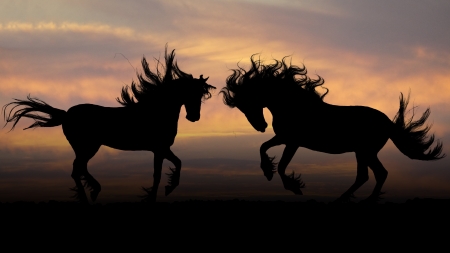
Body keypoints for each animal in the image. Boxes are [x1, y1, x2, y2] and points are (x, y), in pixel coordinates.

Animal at [2, 46, 216, 203]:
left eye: (201, 95)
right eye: (190, 93)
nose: (194, 117)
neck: (155, 111)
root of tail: (66, 114)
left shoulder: (162, 149)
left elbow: (177, 164)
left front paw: (167, 189)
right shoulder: (159, 149)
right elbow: (158, 174)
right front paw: (158, 194)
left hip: (84, 147)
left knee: (79, 168)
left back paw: (92, 193)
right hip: (88, 146)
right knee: (77, 168)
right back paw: (91, 195)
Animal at [220, 54, 444, 203]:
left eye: (247, 102)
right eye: (241, 107)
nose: (261, 126)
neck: (294, 105)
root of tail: (387, 122)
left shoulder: (293, 142)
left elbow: (282, 165)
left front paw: (294, 187)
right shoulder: (283, 138)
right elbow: (263, 148)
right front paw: (268, 172)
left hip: (365, 151)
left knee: (374, 174)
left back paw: (353, 201)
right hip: (364, 152)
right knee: (371, 175)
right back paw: (352, 200)